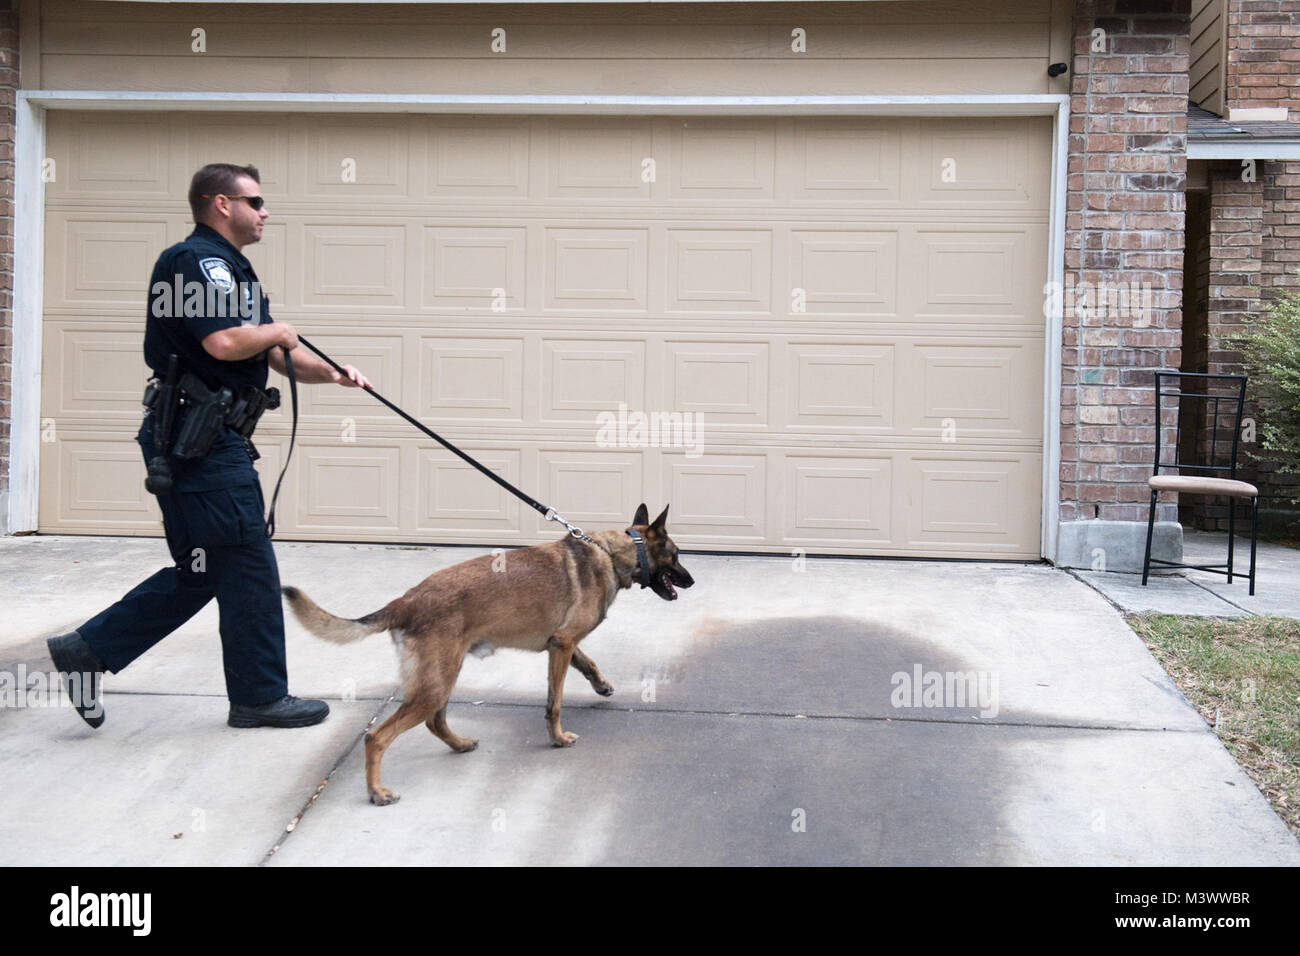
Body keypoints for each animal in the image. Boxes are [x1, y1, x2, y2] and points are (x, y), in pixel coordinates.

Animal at [280, 504, 696, 806]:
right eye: (676, 555)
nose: (692, 581)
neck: (612, 552)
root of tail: (405, 601)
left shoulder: (560, 643)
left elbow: (587, 661)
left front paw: (602, 685)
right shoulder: (562, 645)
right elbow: (555, 702)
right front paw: (558, 738)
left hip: (445, 674)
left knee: (435, 721)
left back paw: (461, 744)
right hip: (436, 682)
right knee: (377, 737)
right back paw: (377, 792)